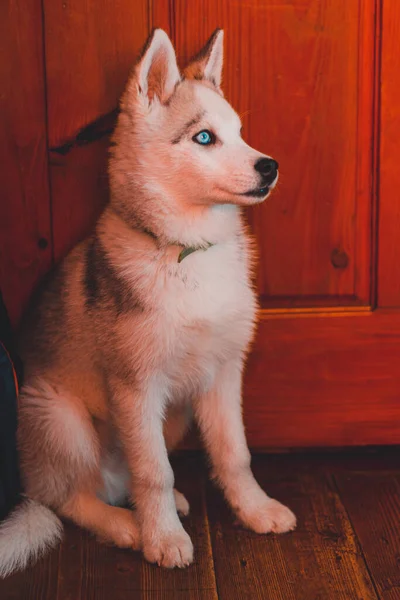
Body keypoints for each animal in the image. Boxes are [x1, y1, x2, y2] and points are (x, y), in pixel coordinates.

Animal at [0, 29, 294, 576]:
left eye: (241, 132)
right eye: (204, 137)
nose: (270, 166)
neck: (188, 252)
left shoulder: (223, 373)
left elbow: (234, 454)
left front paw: (255, 509)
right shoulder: (136, 387)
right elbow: (154, 472)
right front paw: (163, 539)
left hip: (172, 415)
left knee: (117, 483)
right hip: (60, 419)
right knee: (68, 499)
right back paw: (126, 525)